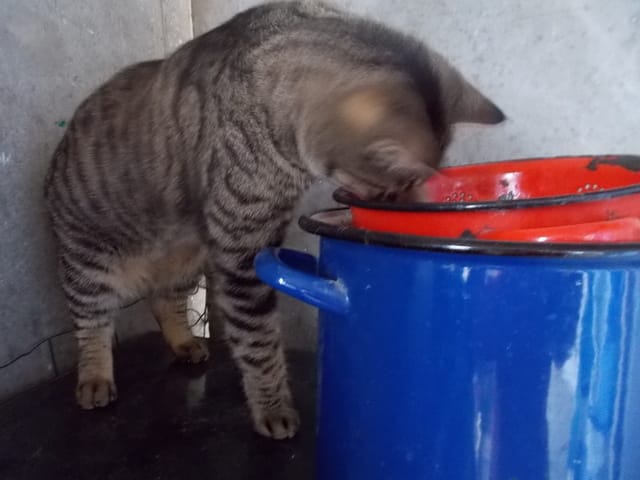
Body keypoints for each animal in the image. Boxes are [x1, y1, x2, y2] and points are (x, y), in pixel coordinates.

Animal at [43, 0, 504, 439]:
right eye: (390, 190)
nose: (405, 208)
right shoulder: (241, 253)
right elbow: (258, 343)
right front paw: (273, 407)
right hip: (90, 262)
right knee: (90, 323)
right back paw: (95, 378)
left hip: (186, 257)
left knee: (163, 300)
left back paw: (185, 342)